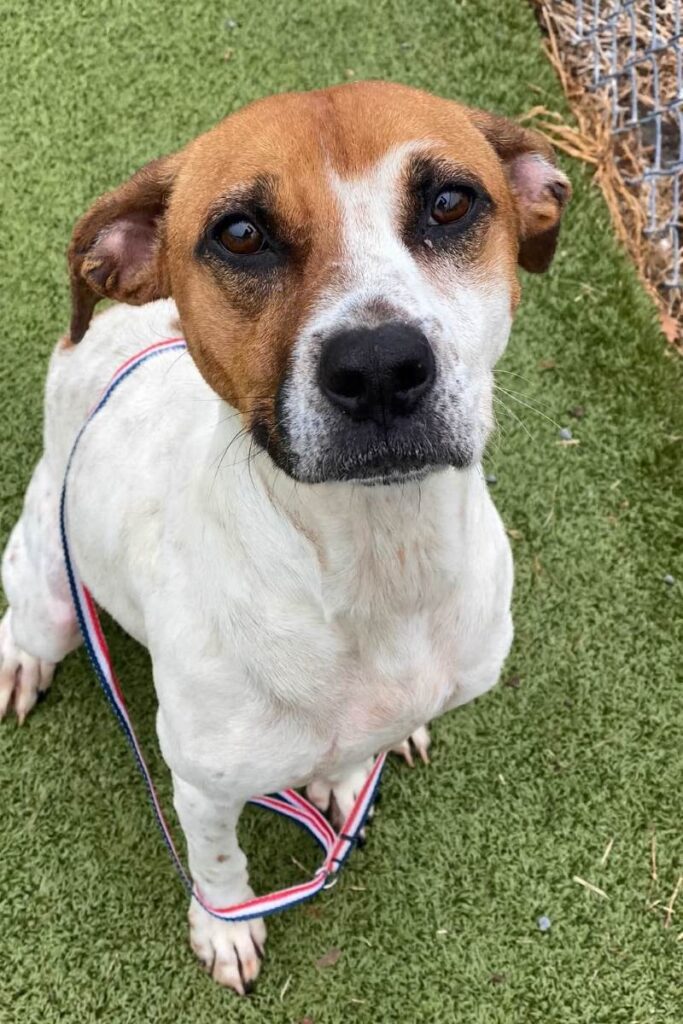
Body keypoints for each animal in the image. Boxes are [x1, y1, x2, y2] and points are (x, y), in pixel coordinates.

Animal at [0, 81, 569, 994]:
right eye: (240, 234)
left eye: (450, 203)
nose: (379, 367)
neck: (380, 563)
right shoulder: (200, 785)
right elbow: (219, 865)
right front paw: (225, 929)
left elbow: (351, 755)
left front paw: (348, 774)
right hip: (53, 587)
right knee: (25, 616)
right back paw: (22, 662)